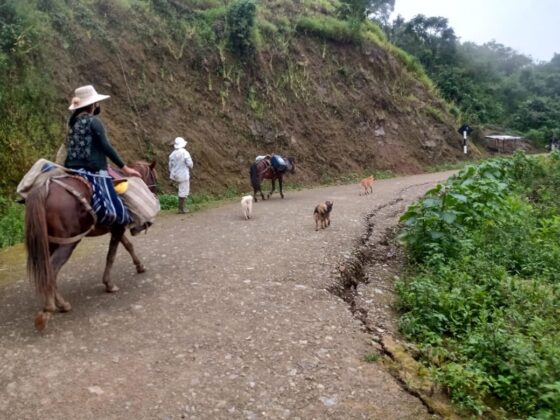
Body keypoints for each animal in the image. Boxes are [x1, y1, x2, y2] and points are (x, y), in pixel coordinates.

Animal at [24, 161, 157, 331]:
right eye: (154, 177)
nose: (154, 193)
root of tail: (44, 188)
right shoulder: (118, 228)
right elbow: (111, 255)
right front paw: (109, 284)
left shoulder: (116, 228)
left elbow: (128, 245)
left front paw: (139, 266)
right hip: (68, 243)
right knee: (52, 270)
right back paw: (54, 306)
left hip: (50, 242)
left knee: (47, 269)